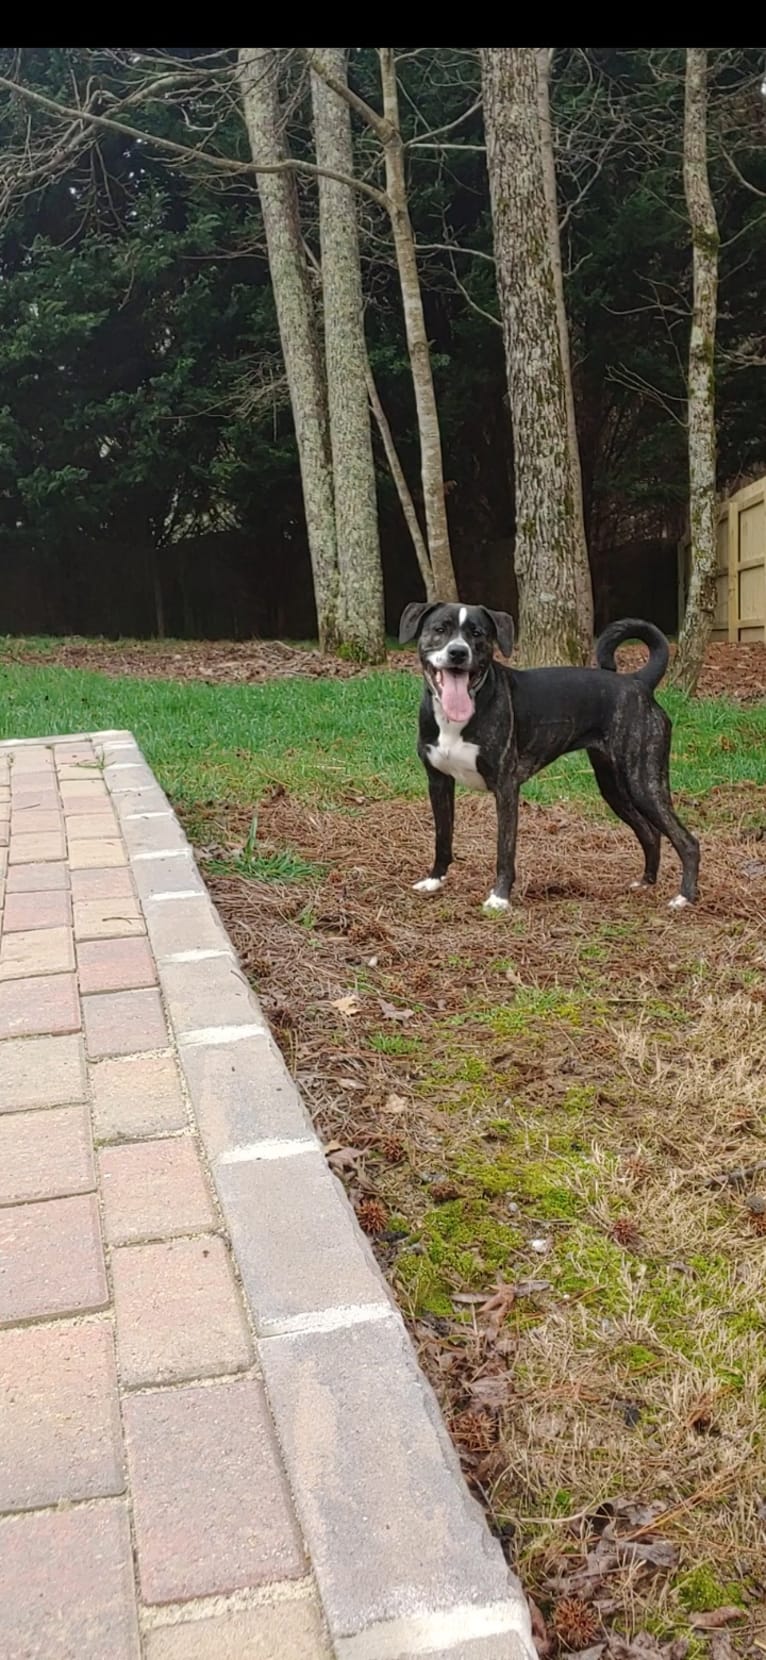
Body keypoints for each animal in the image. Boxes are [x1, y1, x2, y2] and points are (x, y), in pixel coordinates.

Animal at [400, 600, 697, 916]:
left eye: (477, 633)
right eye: (440, 629)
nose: (458, 652)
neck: (456, 717)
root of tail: (638, 682)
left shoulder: (506, 788)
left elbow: (504, 850)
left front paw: (500, 897)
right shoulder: (438, 782)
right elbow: (442, 837)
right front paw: (434, 879)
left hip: (644, 782)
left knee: (687, 841)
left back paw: (684, 897)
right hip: (614, 787)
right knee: (650, 833)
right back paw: (645, 882)